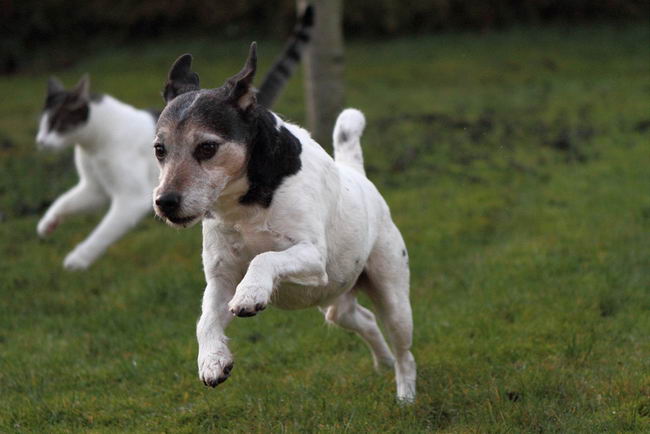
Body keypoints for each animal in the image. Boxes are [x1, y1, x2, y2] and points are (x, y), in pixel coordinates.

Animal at [35, 6, 314, 270]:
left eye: (56, 124)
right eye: (159, 149)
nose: (41, 143)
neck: (97, 139)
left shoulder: (131, 199)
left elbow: (103, 231)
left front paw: (78, 259)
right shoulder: (95, 189)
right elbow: (63, 201)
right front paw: (47, 224)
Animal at [152, 42, 416, 402]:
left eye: (207, 147)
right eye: (159, 149)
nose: (165, 202)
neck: (244, 205)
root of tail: (359, 177)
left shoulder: (313, 257)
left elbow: (264, 258)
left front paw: (250, 294)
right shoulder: (221, 278)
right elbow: (205, 320)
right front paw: (212, 360)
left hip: (390, 292)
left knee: (404, 348)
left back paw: (405, 394)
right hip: (335, 298)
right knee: (363, 318)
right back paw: (383, 361)